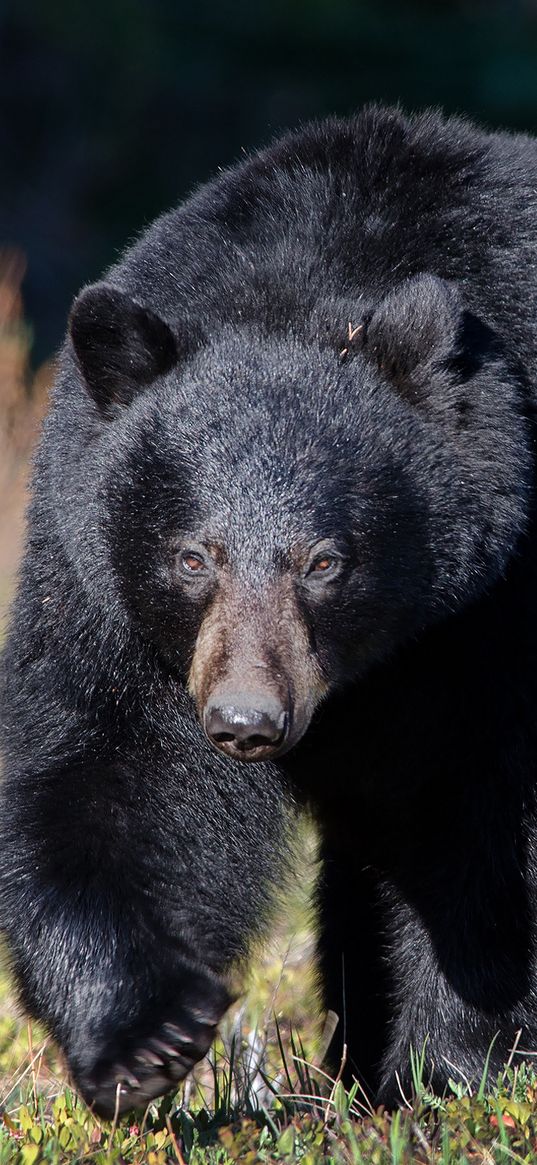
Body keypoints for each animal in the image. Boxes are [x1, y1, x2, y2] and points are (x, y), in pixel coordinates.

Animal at [1, 109, 535, 1118]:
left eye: (325, 561)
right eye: (192, 555)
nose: (247, 720)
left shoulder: (489, 616)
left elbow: (489, 825)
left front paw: (453, 1070)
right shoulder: (108, 594)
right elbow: (103, 766)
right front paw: (146, 1036)